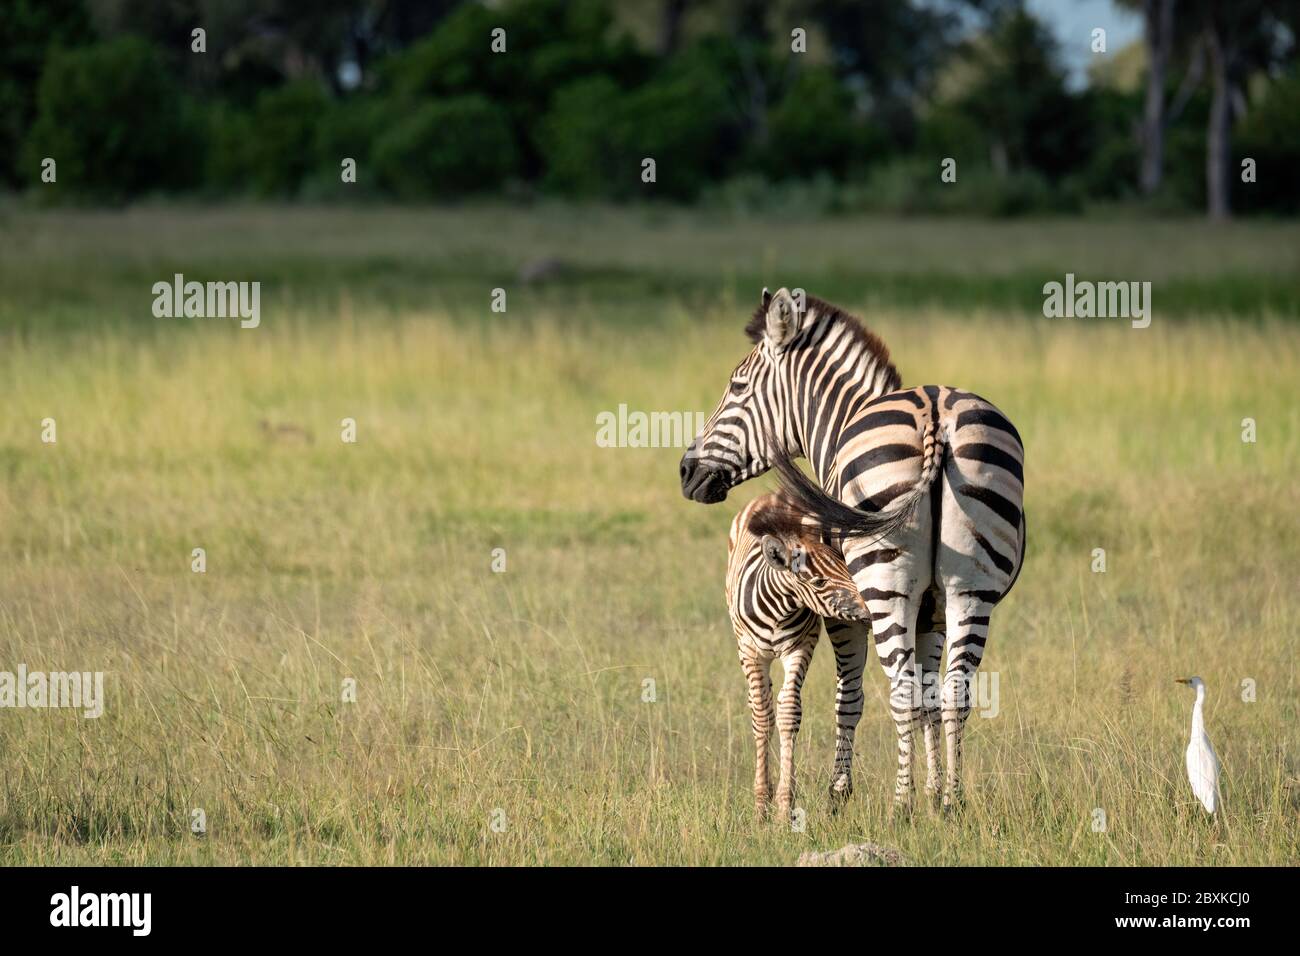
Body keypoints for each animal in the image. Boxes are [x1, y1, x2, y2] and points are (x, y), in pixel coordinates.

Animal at [681, 290, 1024, 806]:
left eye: (737, 386)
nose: (685, 472)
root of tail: (935, 415)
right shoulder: (933, 610)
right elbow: (930, 696)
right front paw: (934, 793)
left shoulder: (843, 610)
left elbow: (851, 697)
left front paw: (839, 793)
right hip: (972, 589)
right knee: (956, 694)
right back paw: (954, 803)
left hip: (883, 587)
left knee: (900, 692)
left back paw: (900, 808)